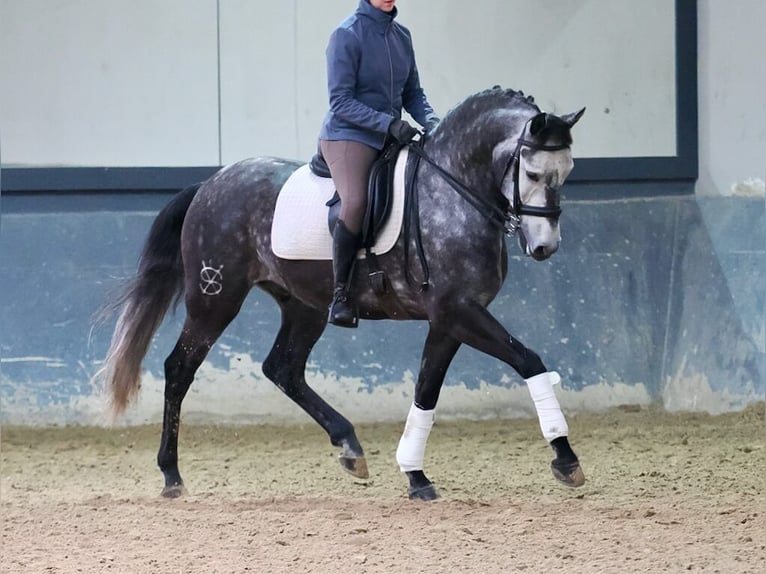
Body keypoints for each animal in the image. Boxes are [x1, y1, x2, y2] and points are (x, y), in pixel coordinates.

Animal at [97, 86, 588, 504]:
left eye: (567, 172)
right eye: (532, 172)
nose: (544, 247)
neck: (453, 191)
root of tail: (210, 184)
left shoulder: (450, 318)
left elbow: (426, 389)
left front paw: (415, 474)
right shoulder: (459, 312)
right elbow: (528, 361)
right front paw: (565, 459)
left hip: (303, 306)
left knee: (283, 368)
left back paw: (350, 447)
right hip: (214, 299)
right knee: (180, 369)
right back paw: (171, 475)